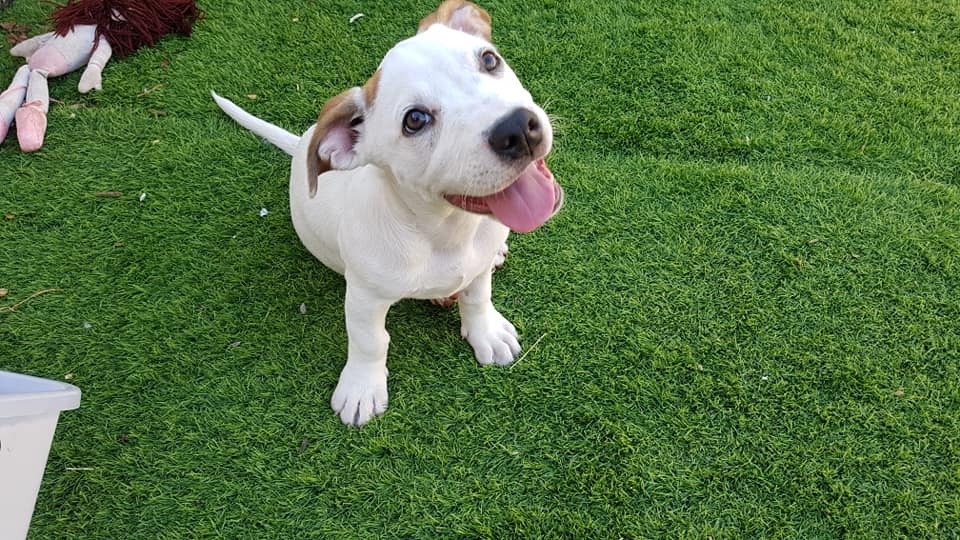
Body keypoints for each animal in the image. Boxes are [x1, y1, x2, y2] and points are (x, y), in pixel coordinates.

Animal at [212, 0, 563, 426]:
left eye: (489, 60)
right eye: (415, 120)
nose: (518, 128)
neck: (445, 230)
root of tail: (301, 144)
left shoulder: (476, 270)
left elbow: (477, 297)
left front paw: (486, 333)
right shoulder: (364, 297)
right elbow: (370, 341)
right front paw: (362, 387)